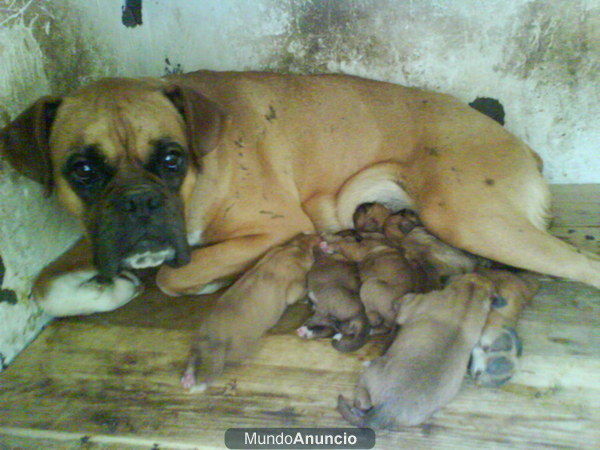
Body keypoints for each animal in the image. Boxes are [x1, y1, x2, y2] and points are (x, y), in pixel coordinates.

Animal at [183, 234, 322, 392]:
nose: (320, 237)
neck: (293, 248)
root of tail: (216, 342)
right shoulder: (295, 288)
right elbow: (300, 292)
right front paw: (306, 299)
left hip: (199, 336)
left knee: (192, 355)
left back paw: (188, 379)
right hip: (240, 346)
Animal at [336, 272, 494, 430]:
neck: (470, 295)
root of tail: (386, 410)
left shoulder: (411, 304)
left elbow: (406, 299)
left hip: (373, 370)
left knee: (362, 400)